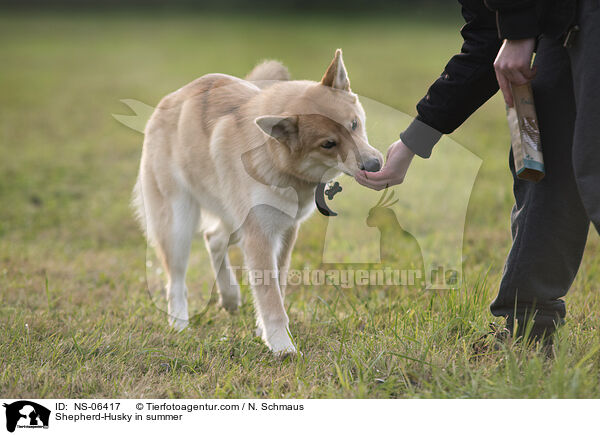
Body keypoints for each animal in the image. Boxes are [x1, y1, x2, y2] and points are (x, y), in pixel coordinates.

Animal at [133, 49, 382, 356]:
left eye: (354, 124)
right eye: (328, 144)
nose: (375, 165)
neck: (278, 161)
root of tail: (170, 100)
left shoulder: (285, 231)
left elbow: (279, 286)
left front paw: (265, 331)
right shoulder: (259, 234)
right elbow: (270, 297)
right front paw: (282, 346)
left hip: (233, 217)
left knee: (213, 238)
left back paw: (229, 296)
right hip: (178, 225)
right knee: (176, 280)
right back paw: (179, 323)